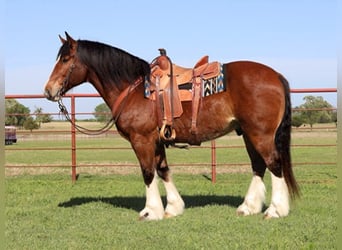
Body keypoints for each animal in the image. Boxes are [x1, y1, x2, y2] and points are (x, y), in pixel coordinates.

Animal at [44, 32, 298, 220]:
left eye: (65, 60)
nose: (48, 90)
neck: (133, 89)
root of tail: (275, 75)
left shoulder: (142, 140)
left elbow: (148, 172)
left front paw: (150, 211)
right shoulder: (157, 140)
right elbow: (163, 170)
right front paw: (173, 207)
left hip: (260, 134)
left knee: (274, 164)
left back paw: (275, 210)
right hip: (248, 133)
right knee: (258, 166)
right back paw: (249, 207)